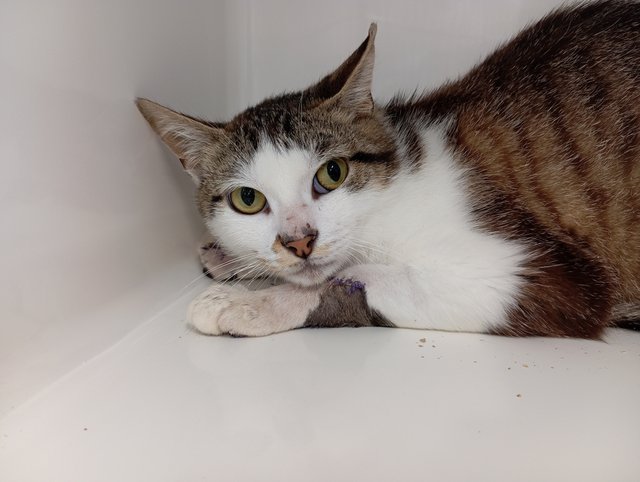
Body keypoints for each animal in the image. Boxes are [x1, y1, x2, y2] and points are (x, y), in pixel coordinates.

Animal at [136, 0, 640, 338]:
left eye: (332, 173)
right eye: (248, 199)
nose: (299, 241)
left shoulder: (545, 279)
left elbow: (361, 277)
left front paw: (255, 304)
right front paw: (236, 260)